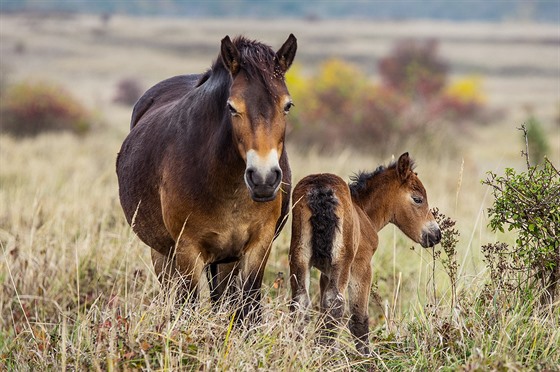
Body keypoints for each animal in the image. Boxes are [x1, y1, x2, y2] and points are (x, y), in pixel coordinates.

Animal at [117, 35, 298, 320]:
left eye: (287, 105)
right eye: (232, 107)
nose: (263, 179)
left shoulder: (258, 246)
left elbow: (248, 308)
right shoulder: (187, 251)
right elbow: (188, 306)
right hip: (163, 254)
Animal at [288, 152, 442, 354]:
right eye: (418, 199)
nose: (436, 234)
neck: (362, 211)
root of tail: (320, 190)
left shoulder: (325, 273)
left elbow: (322, 312)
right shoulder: (362, 265)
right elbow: (359, 317)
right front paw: (366, 357)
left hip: (299, 256)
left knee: (300, 302)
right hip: (343, 261)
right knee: (335, 302)